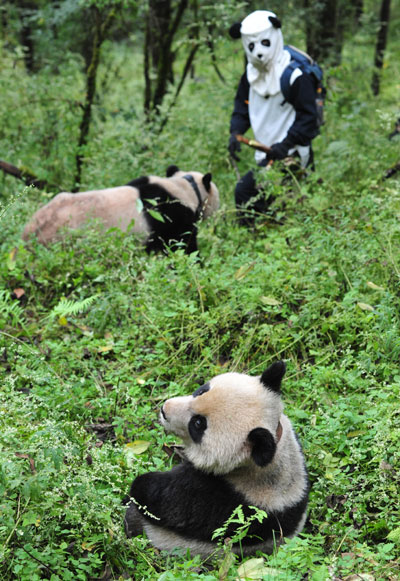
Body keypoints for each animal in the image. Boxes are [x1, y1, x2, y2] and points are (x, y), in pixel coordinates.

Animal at [125, 360, 310, 556]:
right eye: (201, 390)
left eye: (198, 424)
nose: (164, 410)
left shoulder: (224, 499)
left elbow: (164, 501)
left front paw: (141, 484)